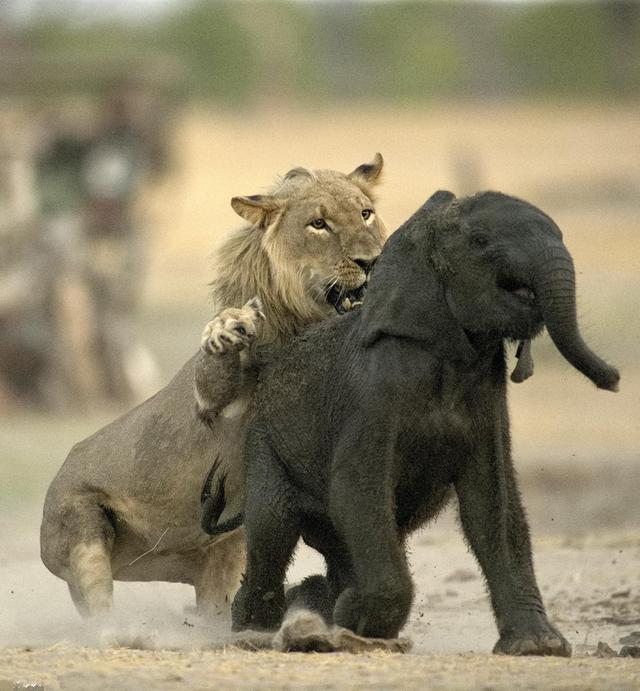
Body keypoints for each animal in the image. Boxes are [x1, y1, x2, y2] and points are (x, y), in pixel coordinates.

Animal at [42, 154, 388, 620]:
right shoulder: (210, 408)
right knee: (98, 606)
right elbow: (213, 374)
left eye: (365, 214)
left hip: (220, 557)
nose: (372, 261)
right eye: (319, 224)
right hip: (80, 530)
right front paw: (226, 328)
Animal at [211, 189, 620, 656]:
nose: (614, 380)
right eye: (480, 241)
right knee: (272, 530)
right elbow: (358, 488)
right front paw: (355, 619)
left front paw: (538, 647)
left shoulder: (488, 400)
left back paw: (318, 605)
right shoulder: (373, 396)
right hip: (266, 445)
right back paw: (258, 631)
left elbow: (492, 503)